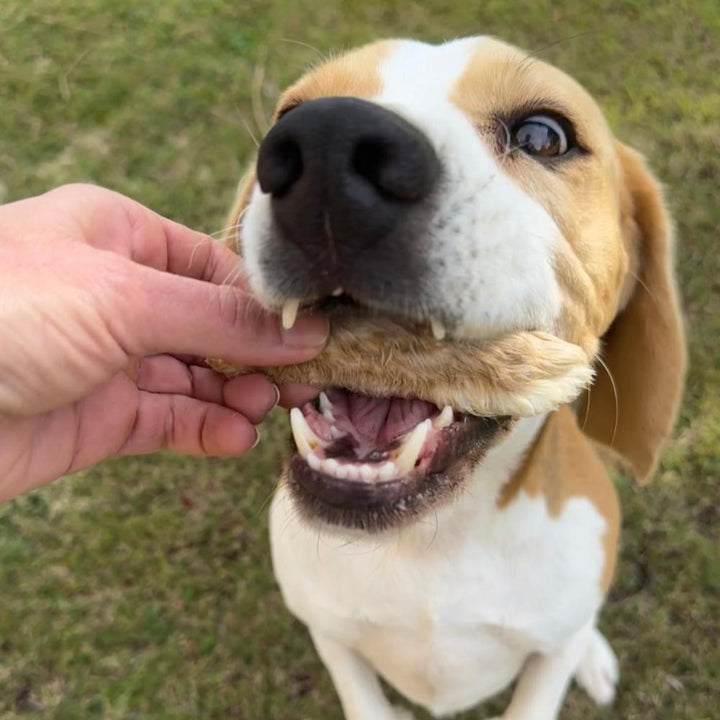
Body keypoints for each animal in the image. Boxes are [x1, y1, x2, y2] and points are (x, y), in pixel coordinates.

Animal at [215, 35, 688, 720]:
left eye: (544, 135)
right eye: (288, 113)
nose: (328, 141)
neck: (431, 547)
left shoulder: (547, 656)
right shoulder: (332, 637)